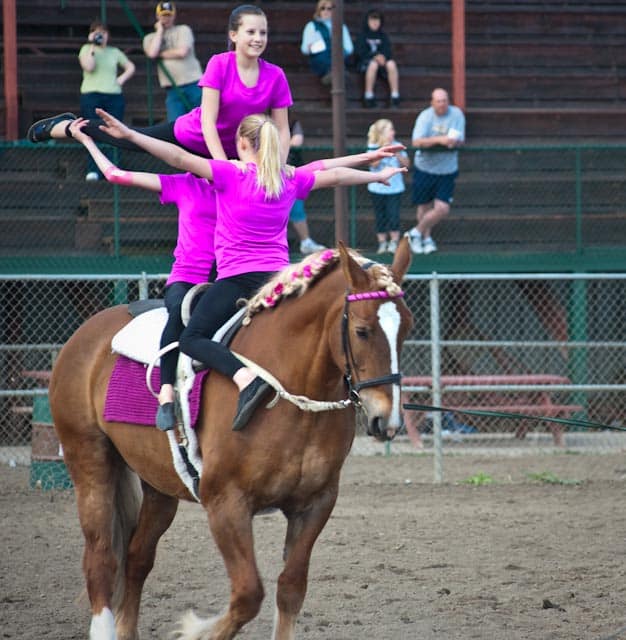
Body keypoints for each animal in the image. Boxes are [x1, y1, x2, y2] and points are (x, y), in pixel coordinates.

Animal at [48, 241, 410, 640]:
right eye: (362, 331)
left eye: (406, 328)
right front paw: (196, 629)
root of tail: (87, 333)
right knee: (101, 560)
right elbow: (248, 594)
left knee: (137, 558)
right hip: (90, 465)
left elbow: (290, 589)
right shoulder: (226, 504)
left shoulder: (315, 504)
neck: (286, 392)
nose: (387, 419)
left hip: (157, 485)